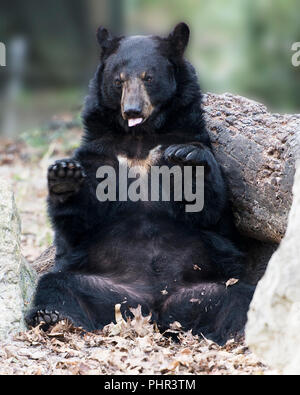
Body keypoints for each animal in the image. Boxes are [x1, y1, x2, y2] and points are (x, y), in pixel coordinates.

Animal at [26, 23, 255, 344]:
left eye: (149, 77)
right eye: (119, 80)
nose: (132, 110)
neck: (139, 138)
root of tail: (154, 308)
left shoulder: (188, 134)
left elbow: (210, 209)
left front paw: (188, 158)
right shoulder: (101, 153)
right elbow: (81, 220)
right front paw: (64, 176)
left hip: (210, 286)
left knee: (239, 297)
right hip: (103, 289)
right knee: (56, 285)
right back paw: (52, 316)